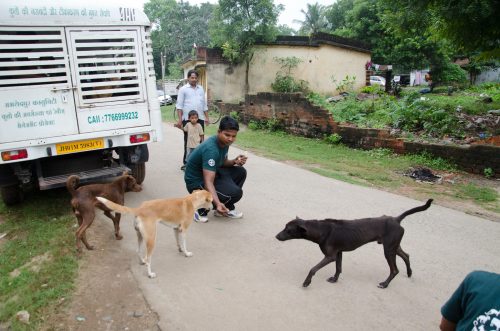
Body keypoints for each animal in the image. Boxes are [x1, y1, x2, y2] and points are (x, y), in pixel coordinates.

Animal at [276, 200, 432, 288]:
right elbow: (338, 268)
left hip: (388, 250)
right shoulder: (339, 253)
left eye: (288, 231)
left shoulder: (330, 256)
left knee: (394, 270)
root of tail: (396, 219)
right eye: (285, 227)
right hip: (393, 246)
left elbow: (313, 269)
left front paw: (307, 282)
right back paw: (409, 272)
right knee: (406, 255)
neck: (321, 229)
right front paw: (335, 279)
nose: (276, 236)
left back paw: (385, 284)